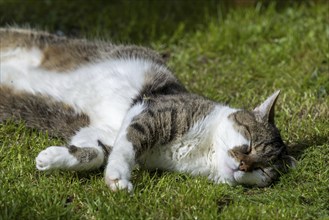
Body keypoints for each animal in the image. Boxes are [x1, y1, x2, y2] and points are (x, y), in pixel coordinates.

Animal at [0, 28, 296, 192]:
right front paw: (118, 178)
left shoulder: (101, 131)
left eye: (264, 170)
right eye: (249, 145)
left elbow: (96, 152)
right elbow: (127, 147)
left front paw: (51, 158)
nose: (244, 165)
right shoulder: (151, 111)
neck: (200, 153)